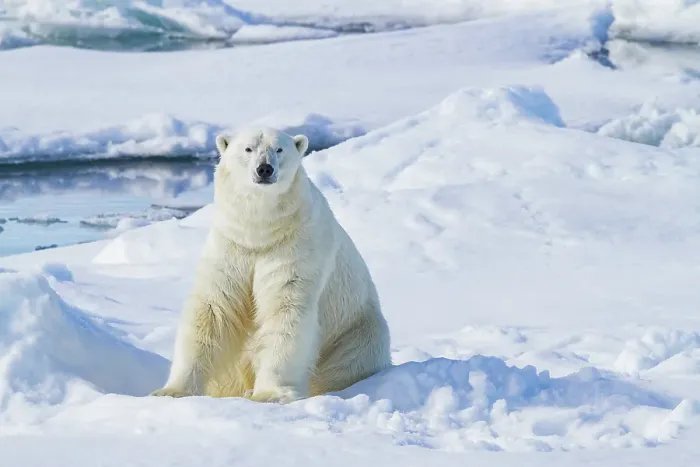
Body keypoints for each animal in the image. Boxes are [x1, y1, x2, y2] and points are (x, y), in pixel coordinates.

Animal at [150, 127, 391, 403]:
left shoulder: (295, 249)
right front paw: (172, 391)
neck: (260, 234)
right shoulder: (231, 247)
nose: (264, 169)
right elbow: (213, 310)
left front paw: (269, 394)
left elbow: (285, 309)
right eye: (248, 148)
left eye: (279, 149)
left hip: (355, 333)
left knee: (346, 363)